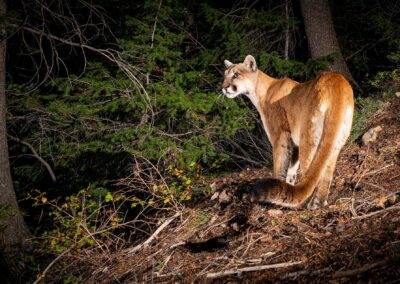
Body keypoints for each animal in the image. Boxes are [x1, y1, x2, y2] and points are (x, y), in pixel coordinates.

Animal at [222, 55, 354, 209]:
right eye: (225, 76)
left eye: (236, 75)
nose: (224, 88)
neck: (260, 90)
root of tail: (337, 83)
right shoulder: (293, 142)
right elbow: (291, 169)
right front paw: (286, 191)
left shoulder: (280, 136)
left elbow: (280, 165)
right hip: (336, 140)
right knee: (326, 170)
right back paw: (319, 203)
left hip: (308, 137)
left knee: (311, 171)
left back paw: (305, 203)